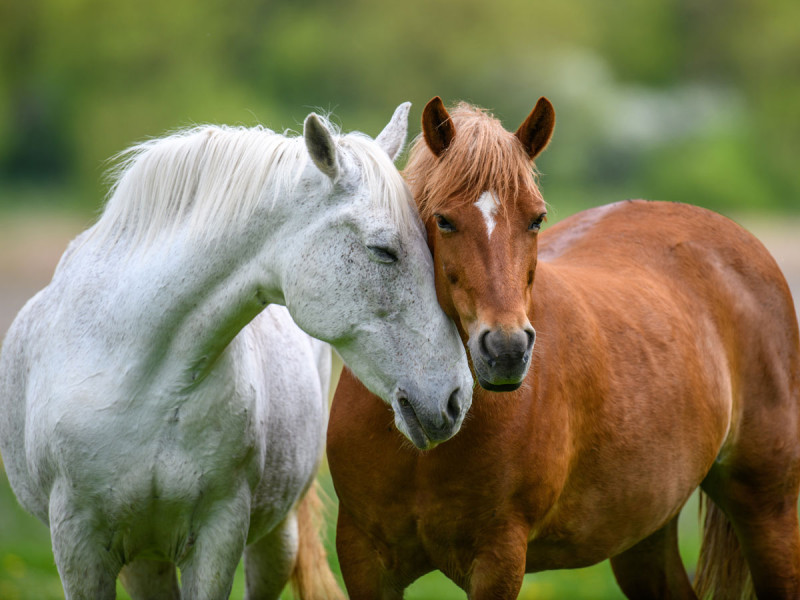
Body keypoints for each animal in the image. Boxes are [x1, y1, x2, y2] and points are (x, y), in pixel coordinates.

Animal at [0, 104, 472, 600]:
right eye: (384, 250)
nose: (457, 398)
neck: (137, 373)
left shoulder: (218, 534)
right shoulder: (78, 546)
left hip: (273, 540)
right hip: (145, 559)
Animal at [328, 96, 800, 596]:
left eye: (536, 219)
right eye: (443, 220)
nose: (507, 350)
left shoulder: (498, 558)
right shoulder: (363, 558)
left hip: (767, 508)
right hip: (644, 535)